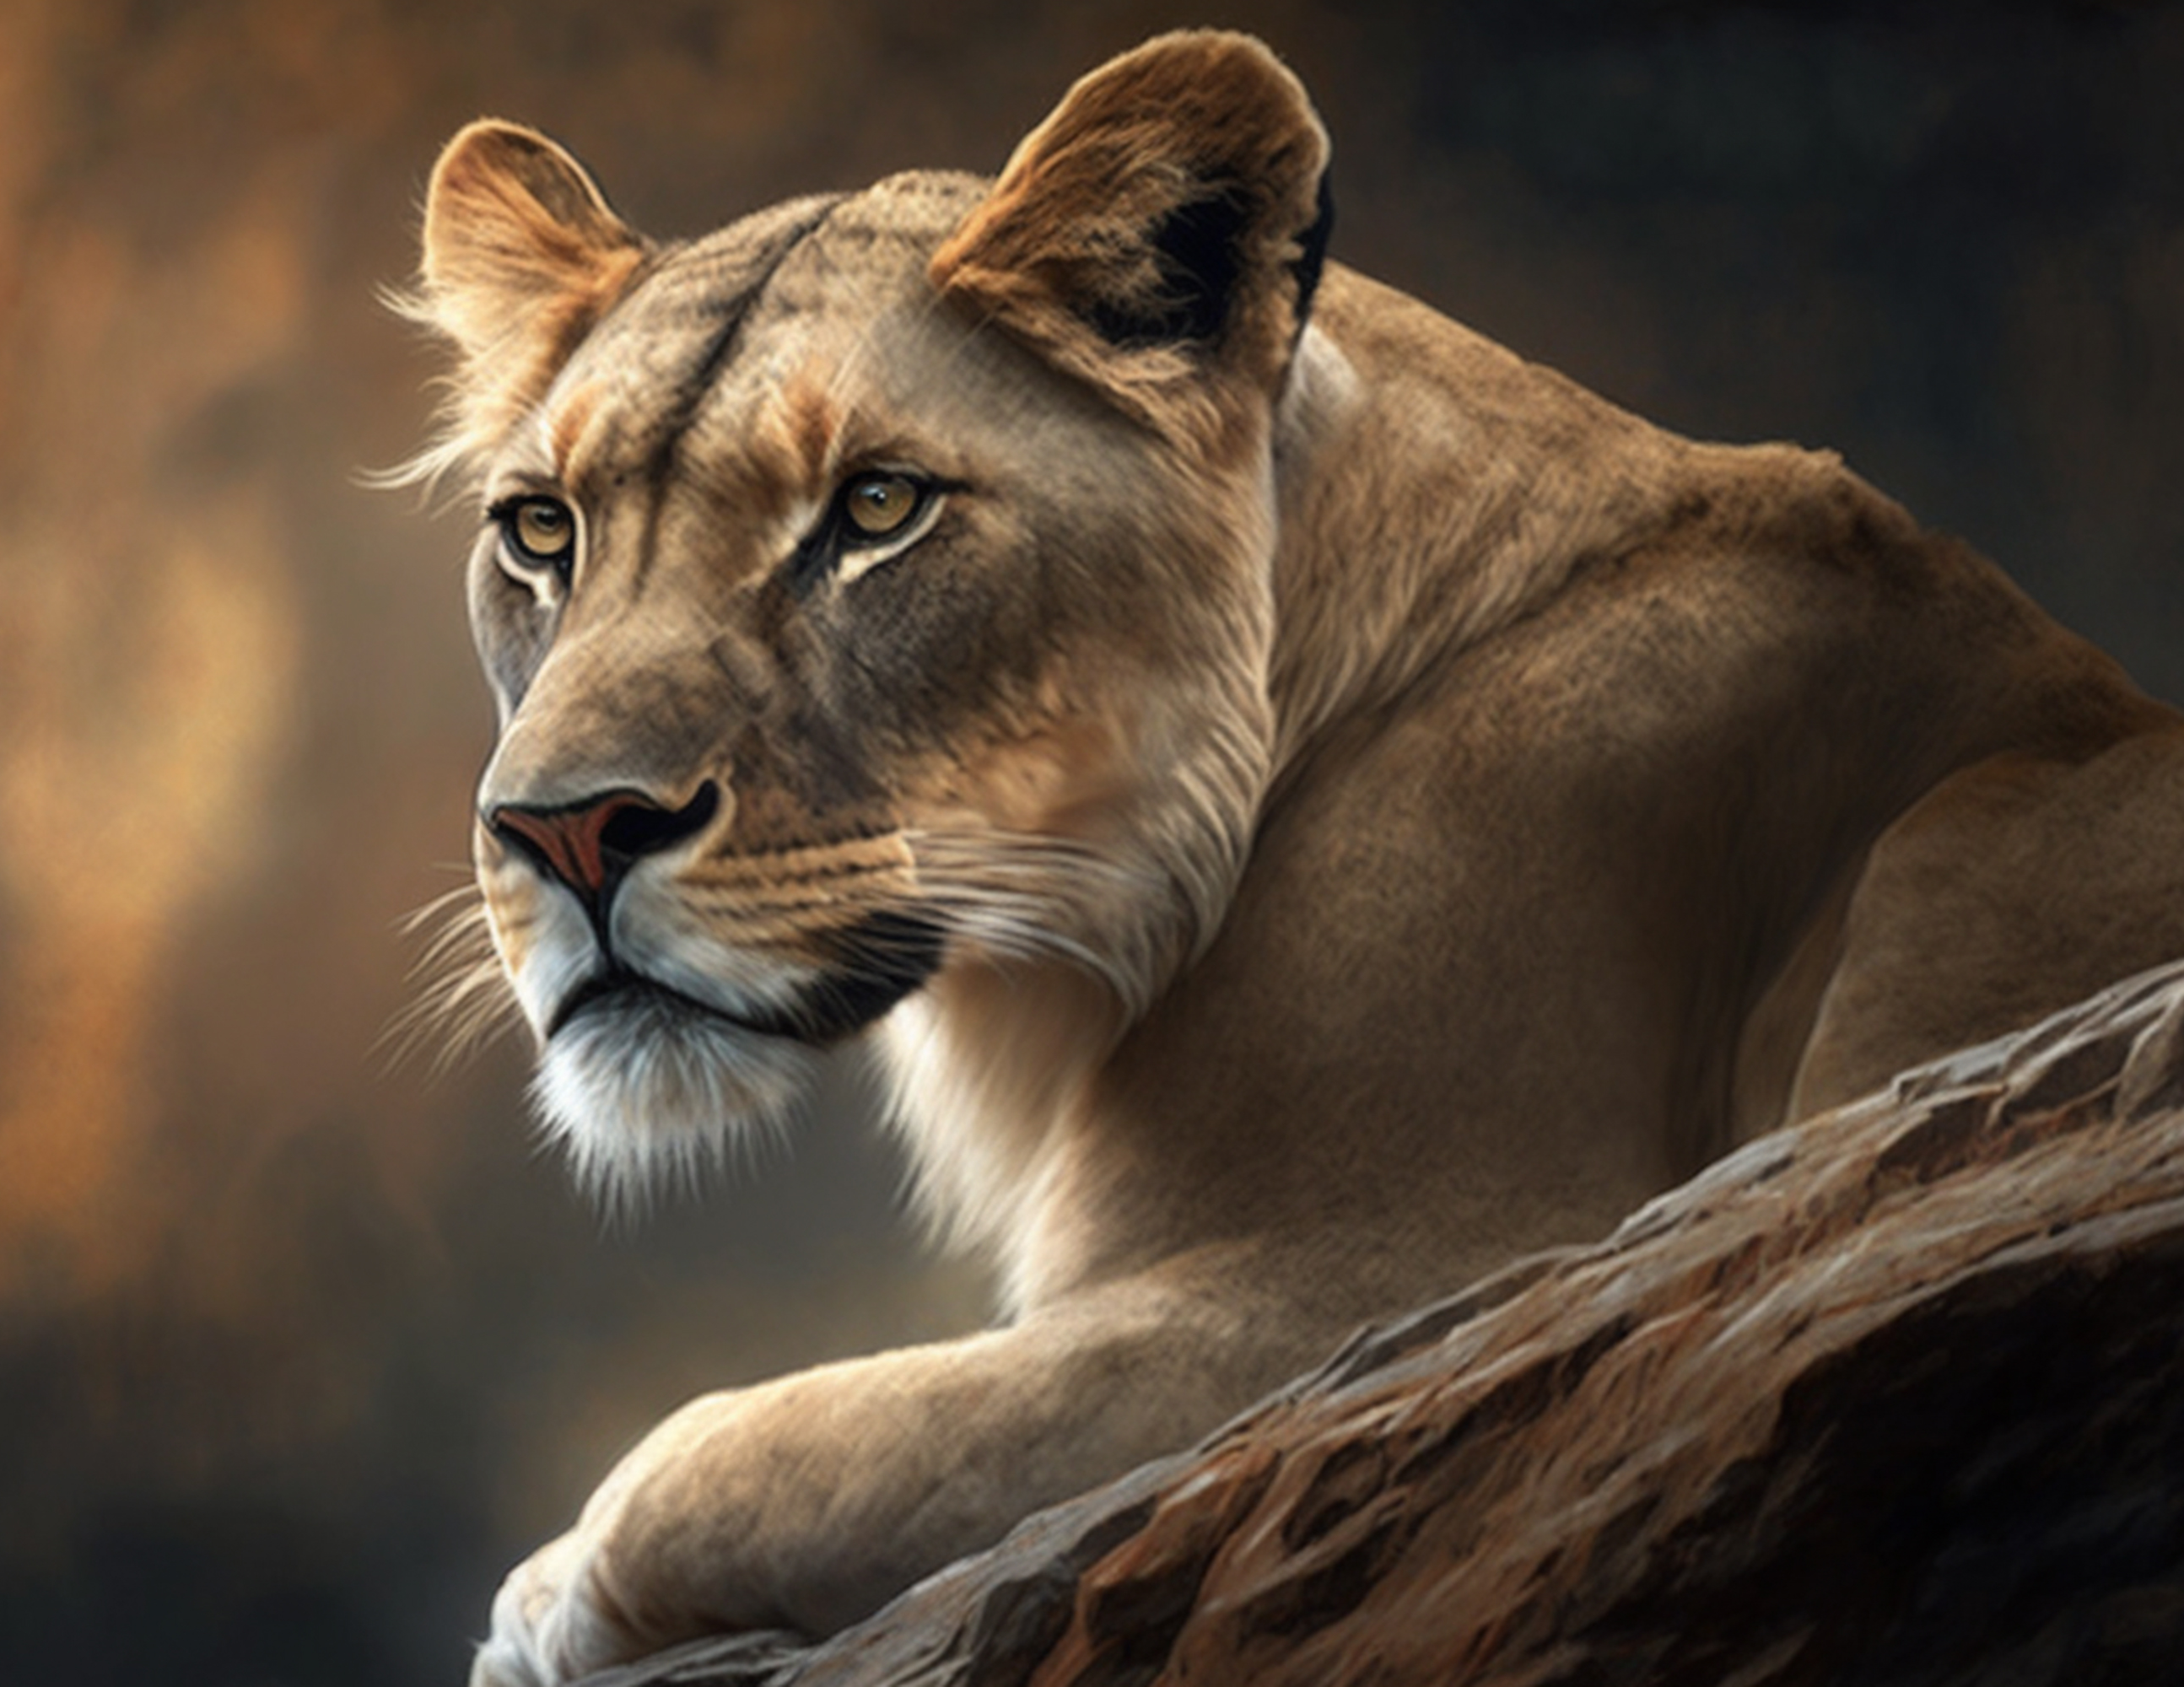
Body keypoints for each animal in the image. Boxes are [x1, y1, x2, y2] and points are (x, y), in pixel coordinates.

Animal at [394, 29, 2184, 1686]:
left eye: (879, 508)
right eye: (541, 531)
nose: (562, 828)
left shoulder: (1417, 1280)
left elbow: (741, 1447)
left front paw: (543, 1601)